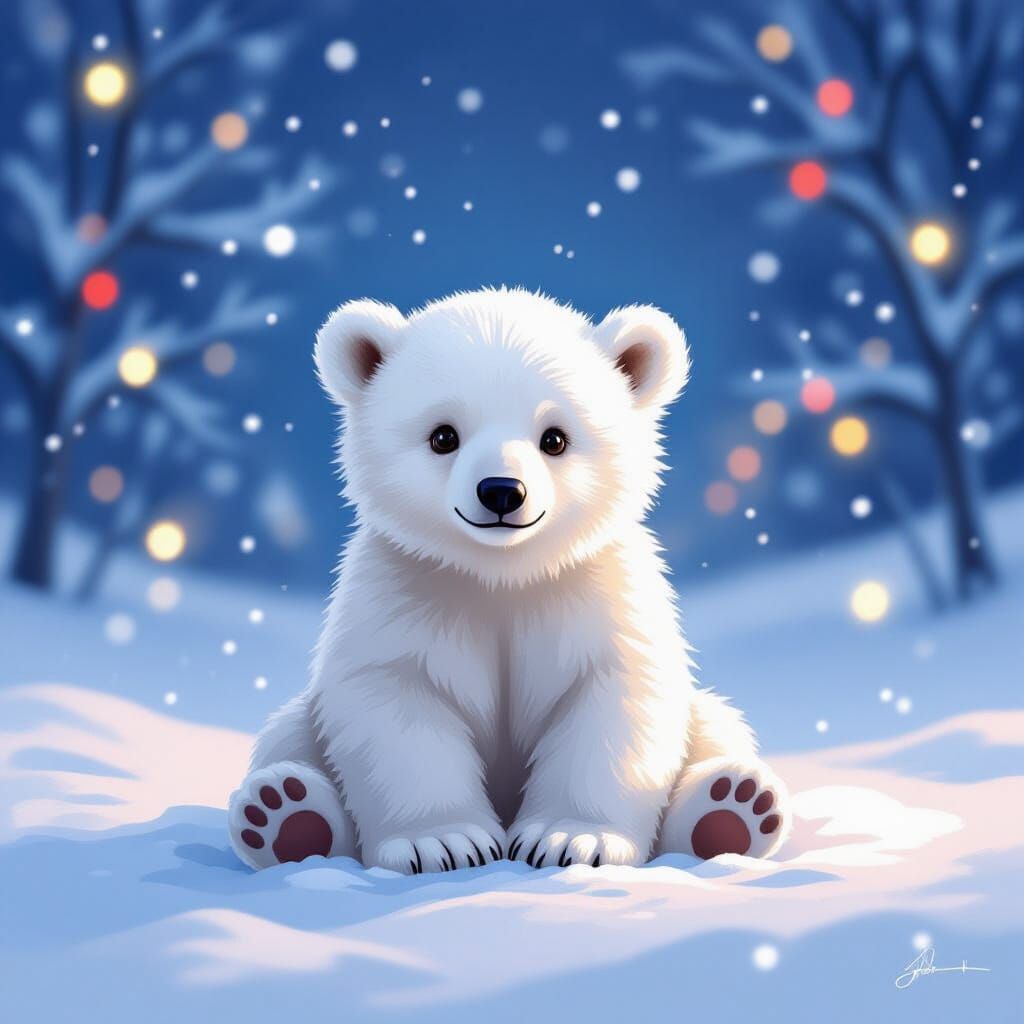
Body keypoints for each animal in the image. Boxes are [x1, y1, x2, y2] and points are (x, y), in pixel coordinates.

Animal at [228, 287, 791, 873]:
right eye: (443, 435)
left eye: (555, 438)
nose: (501, 490)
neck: (503, 576)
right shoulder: (403, 594)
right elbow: (395, 702)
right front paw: (443, 842)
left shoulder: (600, 598)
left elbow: (614, 702)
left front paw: (571, 839)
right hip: (303, 721)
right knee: (285, 736)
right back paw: (286, 814)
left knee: (719, 728)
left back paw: (731, 808)